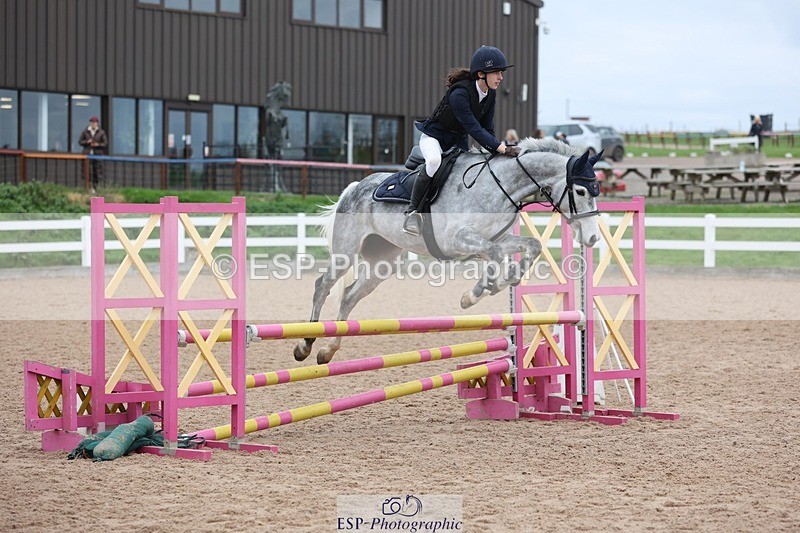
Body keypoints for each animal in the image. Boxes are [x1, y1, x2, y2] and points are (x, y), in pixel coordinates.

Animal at [294, 137, 604, 364]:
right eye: (580, 191)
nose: (592, 238)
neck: (501, 187)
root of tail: (355, 186)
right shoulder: (457, 239)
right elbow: (493, 254)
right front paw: (477, 292)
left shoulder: (494, 237)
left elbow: (531, 246)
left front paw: (506, 280)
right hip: (346, 252)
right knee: (323, 285)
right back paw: (305, 345)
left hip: (383, 262)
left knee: (349, 295)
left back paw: (327, 351)